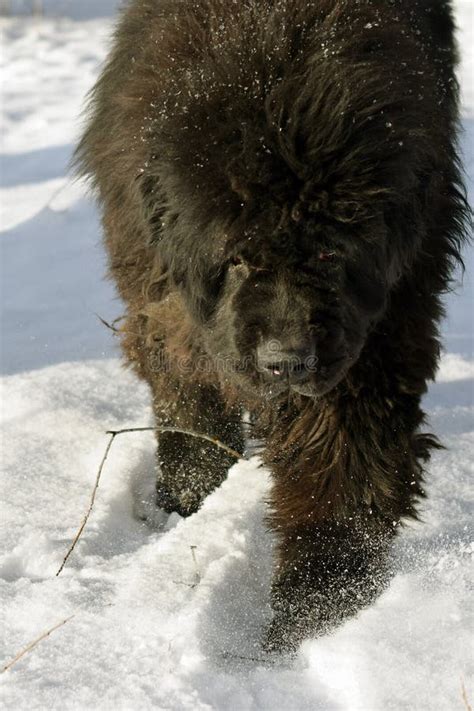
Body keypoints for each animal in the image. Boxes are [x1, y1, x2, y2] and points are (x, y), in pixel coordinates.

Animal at [76, 0, 468, 652]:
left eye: (331, 253)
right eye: (237, 259)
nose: (287, 361)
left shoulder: (376, 335)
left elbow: (343, 465)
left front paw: (310, 616)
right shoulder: (163, 300)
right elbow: (189, 400)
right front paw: (187, 494)